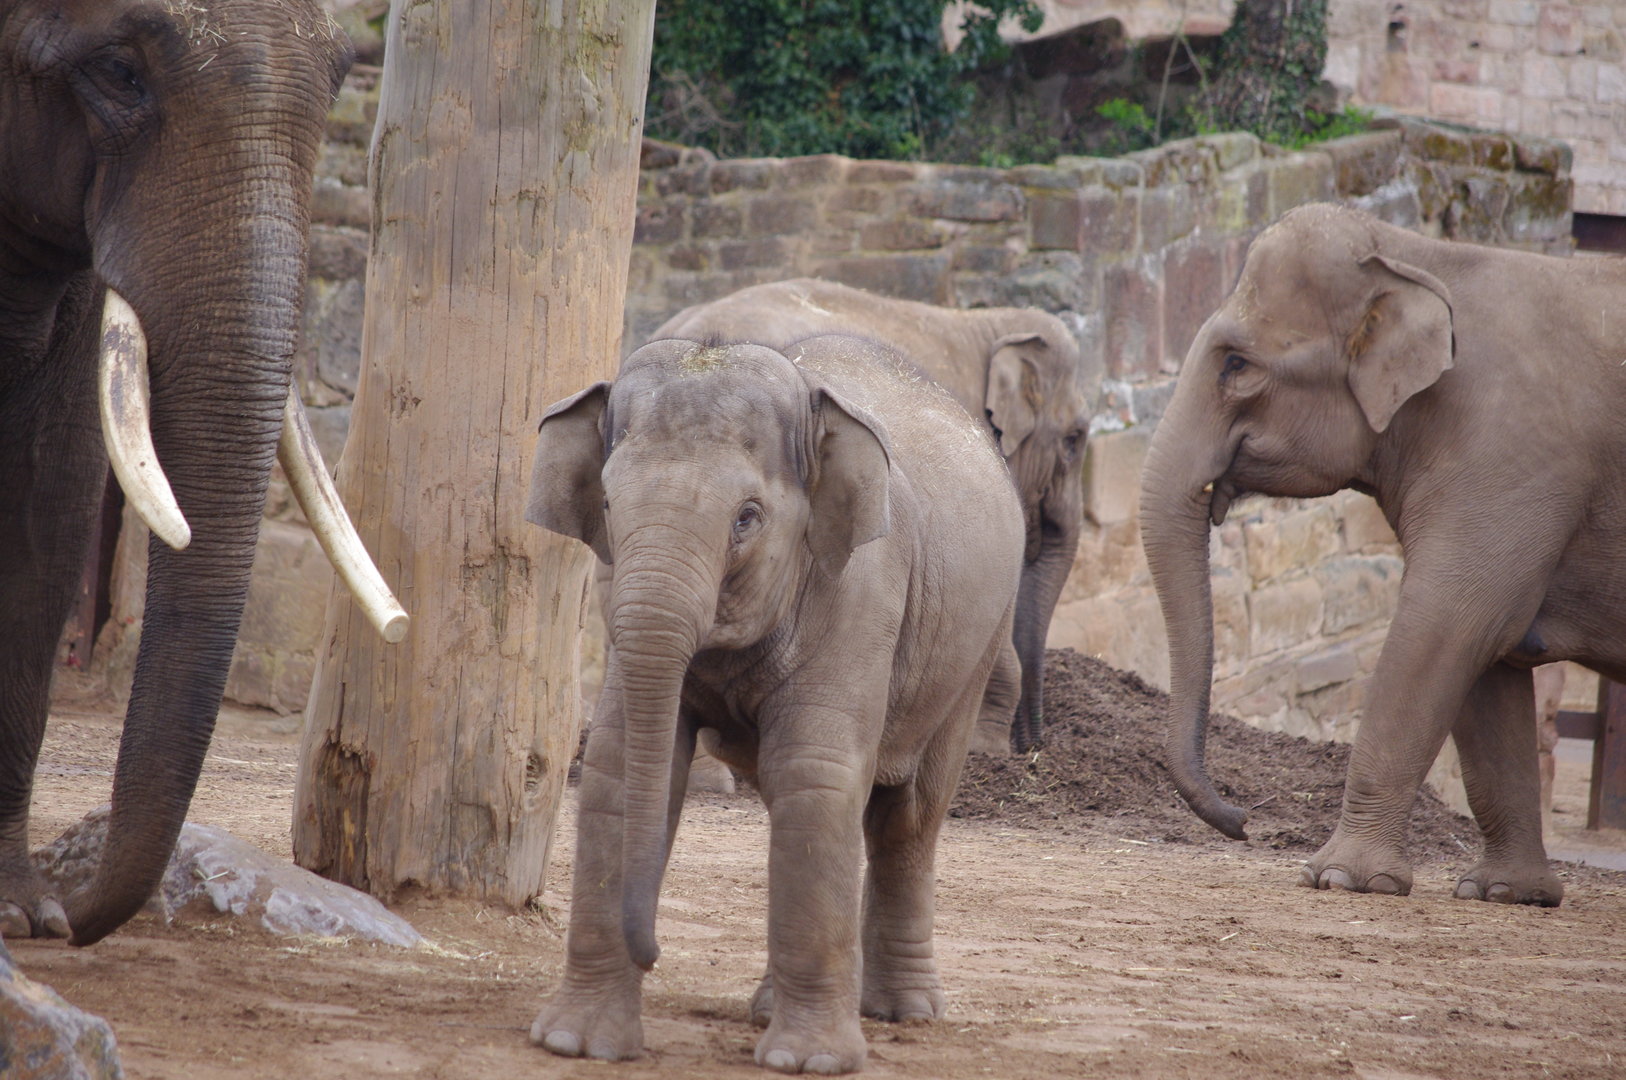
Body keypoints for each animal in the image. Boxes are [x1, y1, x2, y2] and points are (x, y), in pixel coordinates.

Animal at [525, 334, 1023, 1073]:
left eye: (747, 518)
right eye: (609, 506)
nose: (657, 951)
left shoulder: (862, 587)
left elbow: (814, 774)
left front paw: (808, 1063)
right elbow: (619, 764)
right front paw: (575, 1044)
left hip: (976, 645)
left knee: (908, 815)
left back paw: (903, 1012)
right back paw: (769, 1006)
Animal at [1140, 202, 1626, 908]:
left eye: (1235, 364)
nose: (1244, 821)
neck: (1418, 254)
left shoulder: (1515, 462)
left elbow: (1448, 626)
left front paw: (1340, 878)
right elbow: (1489, 660)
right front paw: (1506, 893)